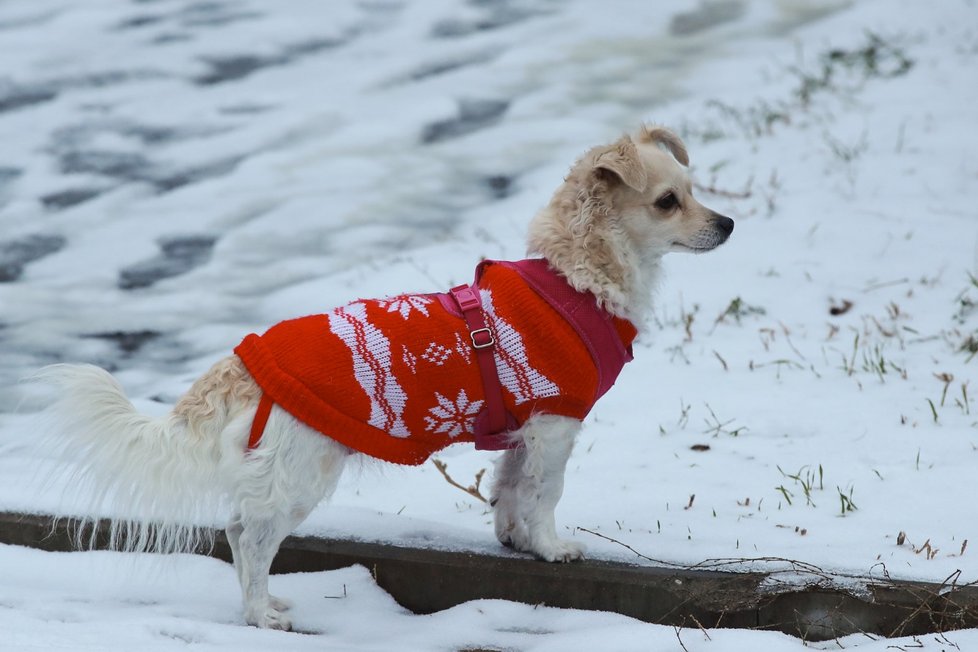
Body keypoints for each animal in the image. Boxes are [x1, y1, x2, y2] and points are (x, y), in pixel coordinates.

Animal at [38, 125, 732, 628]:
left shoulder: (520, 431)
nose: (727, 223)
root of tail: (244, 364)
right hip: (303, 471)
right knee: (251, 536)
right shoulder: (554, 425)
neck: (574, 281)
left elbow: (508, 489)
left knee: (237, 531)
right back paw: (262, 615)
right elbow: (545, 494)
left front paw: (513, 541)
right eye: (668, 202)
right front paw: (551, 547)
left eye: (695, 190)